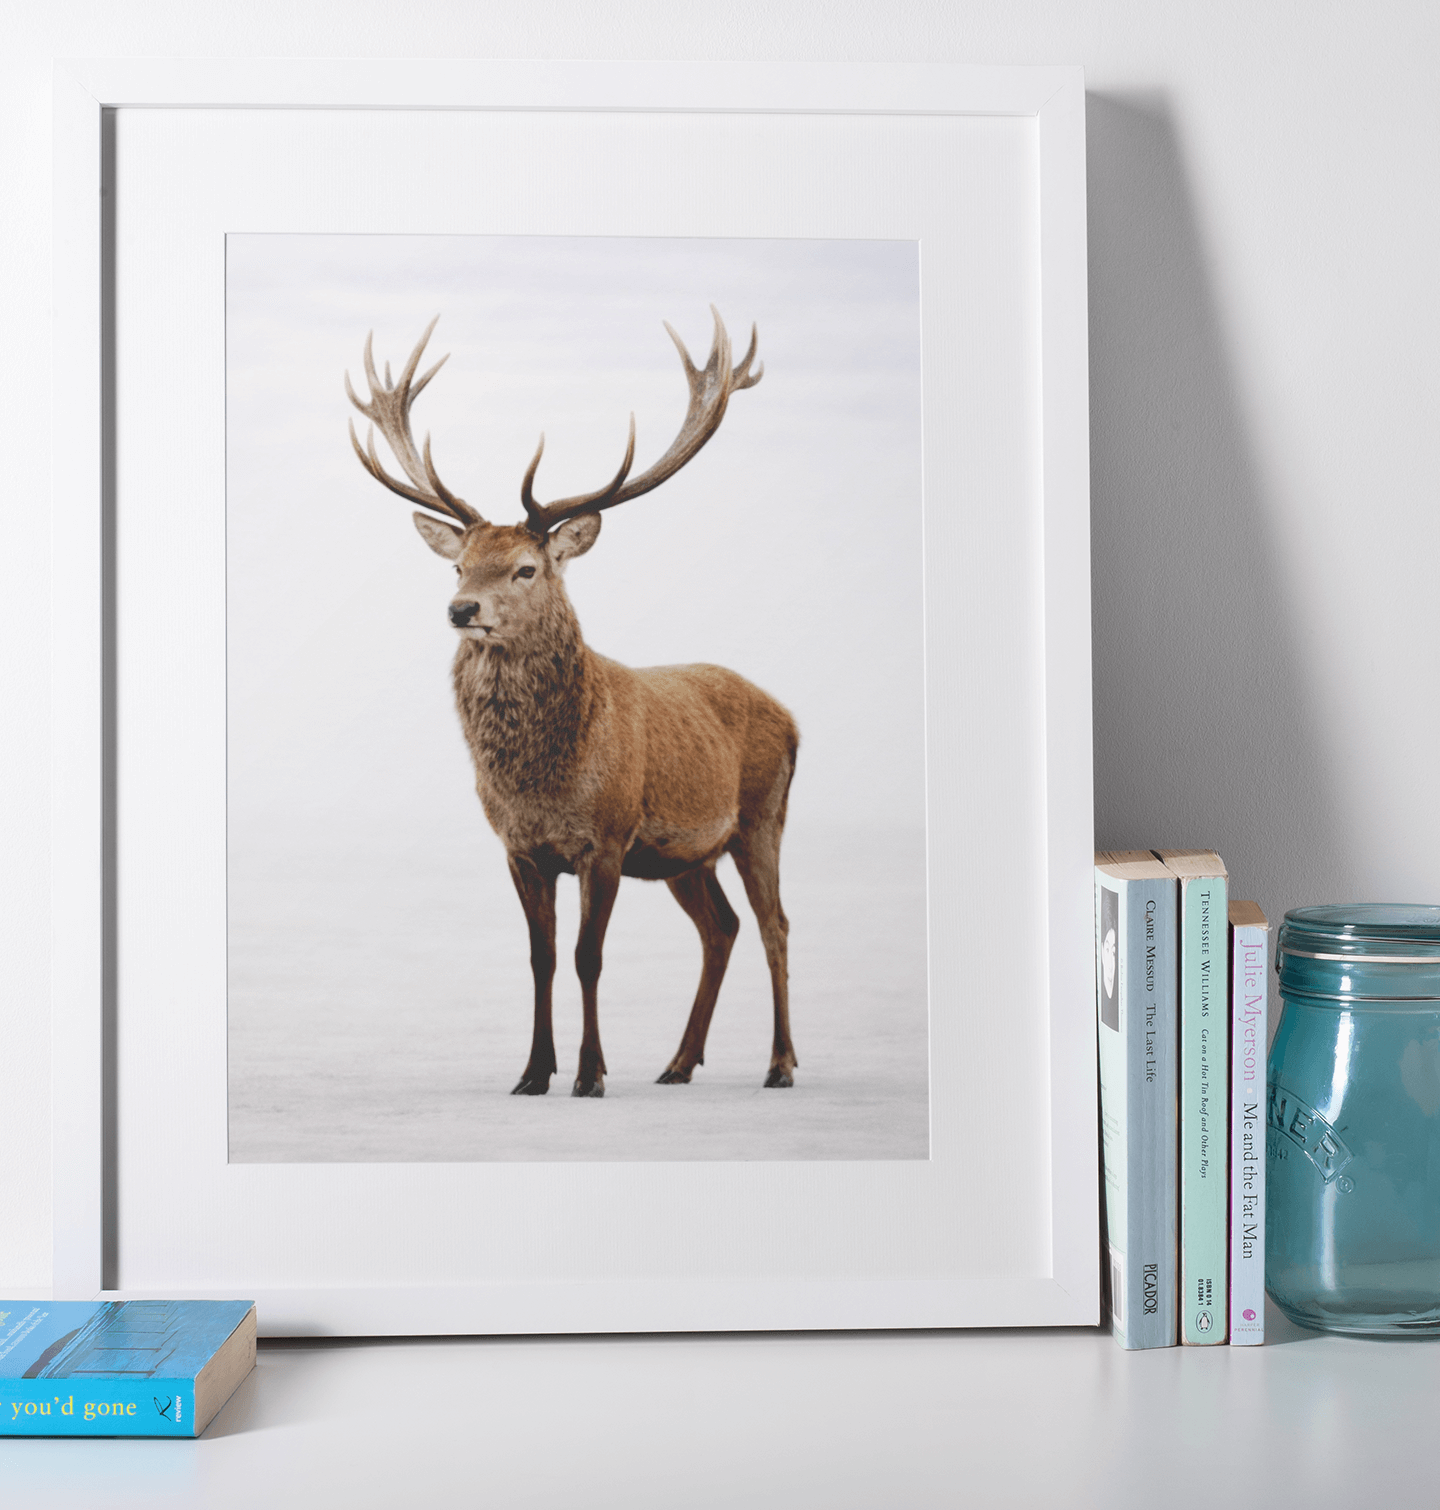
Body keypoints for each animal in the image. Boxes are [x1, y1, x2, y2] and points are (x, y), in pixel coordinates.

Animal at [345, 309, 799, 1098]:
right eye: (460, 565)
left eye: (526, 568)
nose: (461, 610)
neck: (542, 779)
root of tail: (795, 717)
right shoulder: (520, 848)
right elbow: (542, 958)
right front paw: (533, 1072)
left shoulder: (607, 838)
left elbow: (590, 957)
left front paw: (590, 1073)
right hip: (688, 856)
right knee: (722, 927)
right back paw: (678, 1063)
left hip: (762, 816)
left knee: (776, 925)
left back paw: (780, 1064)